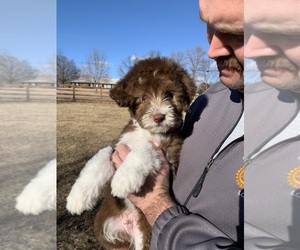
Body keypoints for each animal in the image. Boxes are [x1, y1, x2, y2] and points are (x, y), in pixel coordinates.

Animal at [66, 57, 197, 249]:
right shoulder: (118, 145)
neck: (148, 132)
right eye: (143, 97)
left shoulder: (169, 154)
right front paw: (77, 198)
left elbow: (145, 149)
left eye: (170, 95)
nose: (159, 117)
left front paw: (123, 179)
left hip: (147, 235)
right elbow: (100, 158)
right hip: (105, 228)